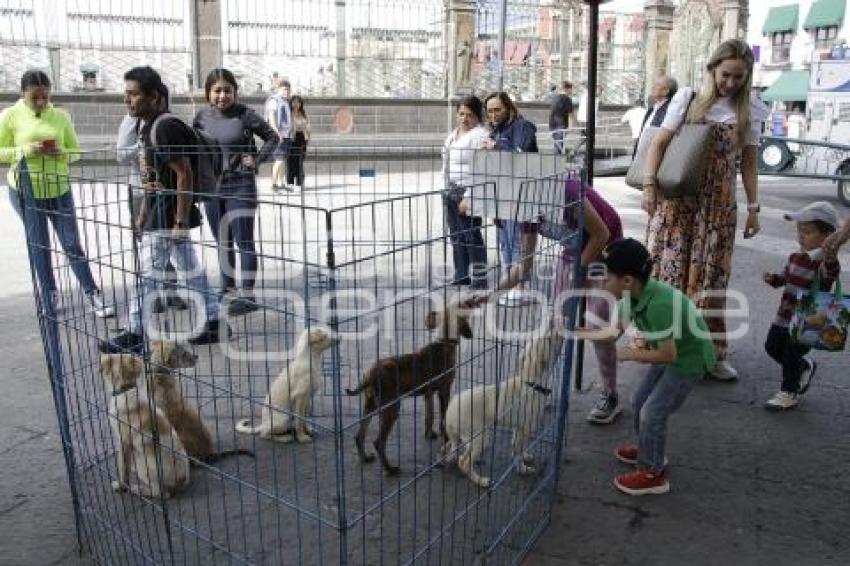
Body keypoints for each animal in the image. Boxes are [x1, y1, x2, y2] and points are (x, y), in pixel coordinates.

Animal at [100, 356, 190, 502]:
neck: (127, 389)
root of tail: (182, 481)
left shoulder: (123, 441)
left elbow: (122, 467)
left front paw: (120, 486)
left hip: (145, 465)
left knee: (162, 493)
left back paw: (137, 489)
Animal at [346, 304, 476, 478]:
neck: (444, 343)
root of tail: (370, 374)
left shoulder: (428, 393)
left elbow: (429, 416)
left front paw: (430, 434)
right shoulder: (444, 391)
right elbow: (442, 418)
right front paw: (446, 439)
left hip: (370, 405)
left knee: (359, 436)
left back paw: (365, 458)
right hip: (391, 409)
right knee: (378, 442)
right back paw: (390, 469)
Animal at [440, 336, 560, 490]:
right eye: (549, 339)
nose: (562, 331)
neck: (531, 383)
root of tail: (449, 413)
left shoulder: (518, 427)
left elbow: (517, 446)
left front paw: (525, 456)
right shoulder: (525, 428)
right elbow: (518, 450)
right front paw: (523, 468)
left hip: (465, 438)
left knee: (454, 449)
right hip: (481, 437)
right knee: (463, 461)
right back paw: (481, 481)